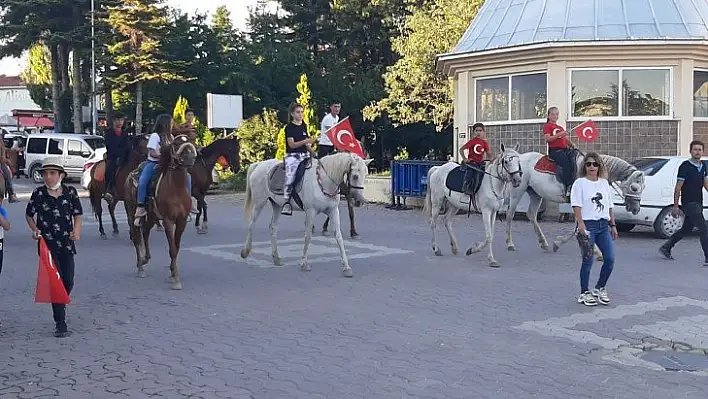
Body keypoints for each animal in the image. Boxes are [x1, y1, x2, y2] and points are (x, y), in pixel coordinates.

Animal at [126, 135, 198, 290]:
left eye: (191, 141)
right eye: (176, 144)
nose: (190, 157)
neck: (176, 189)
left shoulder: (182, 220)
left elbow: (176, 247)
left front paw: (172, 272)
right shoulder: (168, 220)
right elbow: (172, 248)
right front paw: (176, 279)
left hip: (152, 216)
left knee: (145, 231)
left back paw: (146, 259)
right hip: (131, 212)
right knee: (136, 237)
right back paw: (140, 267)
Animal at [239, 152, 370, 278]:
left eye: (366, 175)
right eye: (355, 176)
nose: (359, 201)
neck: (324, 181)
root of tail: (259, 165)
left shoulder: (333, 211)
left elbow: (338, 237)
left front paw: (346, 268)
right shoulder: (311, 211)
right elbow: (308, 236)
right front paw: (304, 263)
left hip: (277, 205)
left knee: (272, 227)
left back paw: (276, 258)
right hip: (259, 202)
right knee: (251, 224)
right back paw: (245, 251)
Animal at [504, 150, 648, 260]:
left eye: (644, 187)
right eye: (634, 188)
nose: (636, 209)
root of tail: (519, 158)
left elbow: (579, 227)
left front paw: (558, 243)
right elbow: (580, 227)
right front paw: (597, 252)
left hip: (535, 193)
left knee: (532, 215)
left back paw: (543, 243)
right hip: (517, 190)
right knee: (510, 215)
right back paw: (510, 244)